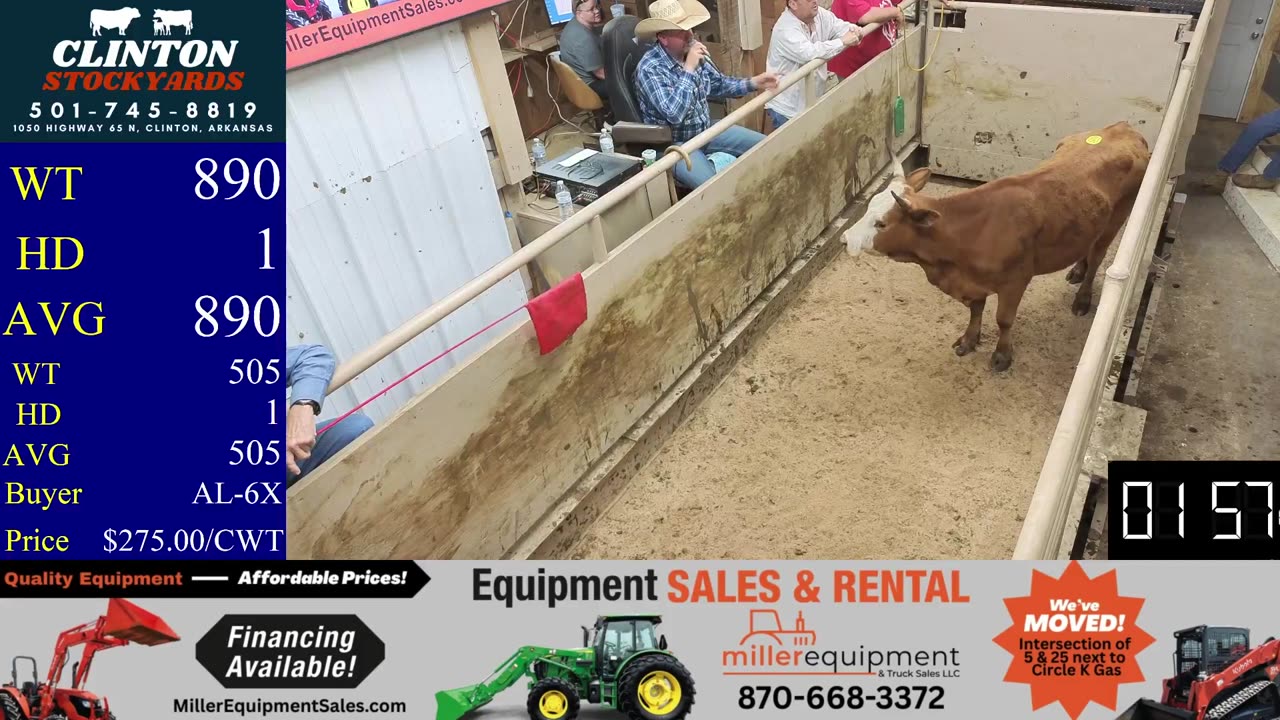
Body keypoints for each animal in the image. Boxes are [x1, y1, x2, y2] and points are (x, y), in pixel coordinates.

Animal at [843, 121, 1150, 372]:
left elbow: (1004, 319)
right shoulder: (972, 282)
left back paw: (1083, 298)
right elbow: (976, 309)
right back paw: (1077, 269)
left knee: (1098, 257)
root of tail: (1124, 128)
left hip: (1117, 219)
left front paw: (1002, 356)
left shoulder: (1016, 281)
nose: (845, 239)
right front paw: (969, 340)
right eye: (868, 207)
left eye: (881, 223)